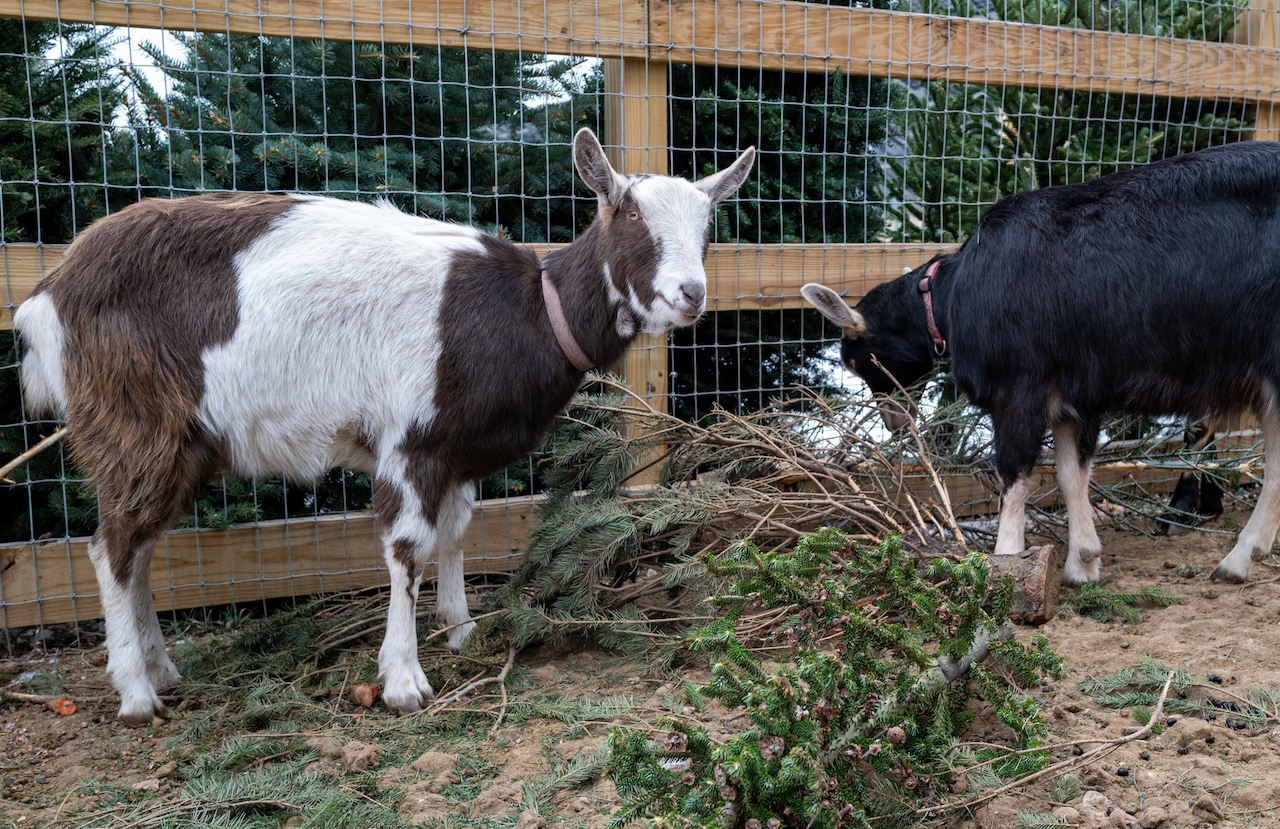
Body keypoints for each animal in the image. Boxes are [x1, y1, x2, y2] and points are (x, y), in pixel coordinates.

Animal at [14, 128, 755, 725]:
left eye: (708, 227)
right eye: (630, 215)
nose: (692, 294)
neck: (529, 311)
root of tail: (47, 298)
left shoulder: (455, 448)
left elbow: (456, 531)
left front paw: (461, 629)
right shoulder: (411, 440)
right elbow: (407, 549)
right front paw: (403, 680)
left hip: (182, 443)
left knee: (139, 548)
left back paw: (162, 669)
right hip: (133, 423)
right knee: (110, 548)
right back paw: (136, 692)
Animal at [802, 141, 1280, 586]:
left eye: (859, 361)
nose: (895, 423)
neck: (951, 296)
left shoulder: (1018, 387)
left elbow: (1014, 474)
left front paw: (1006, 558)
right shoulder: (1075, 392)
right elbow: (1071, 473)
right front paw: (1083, 562)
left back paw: (1233, 555)